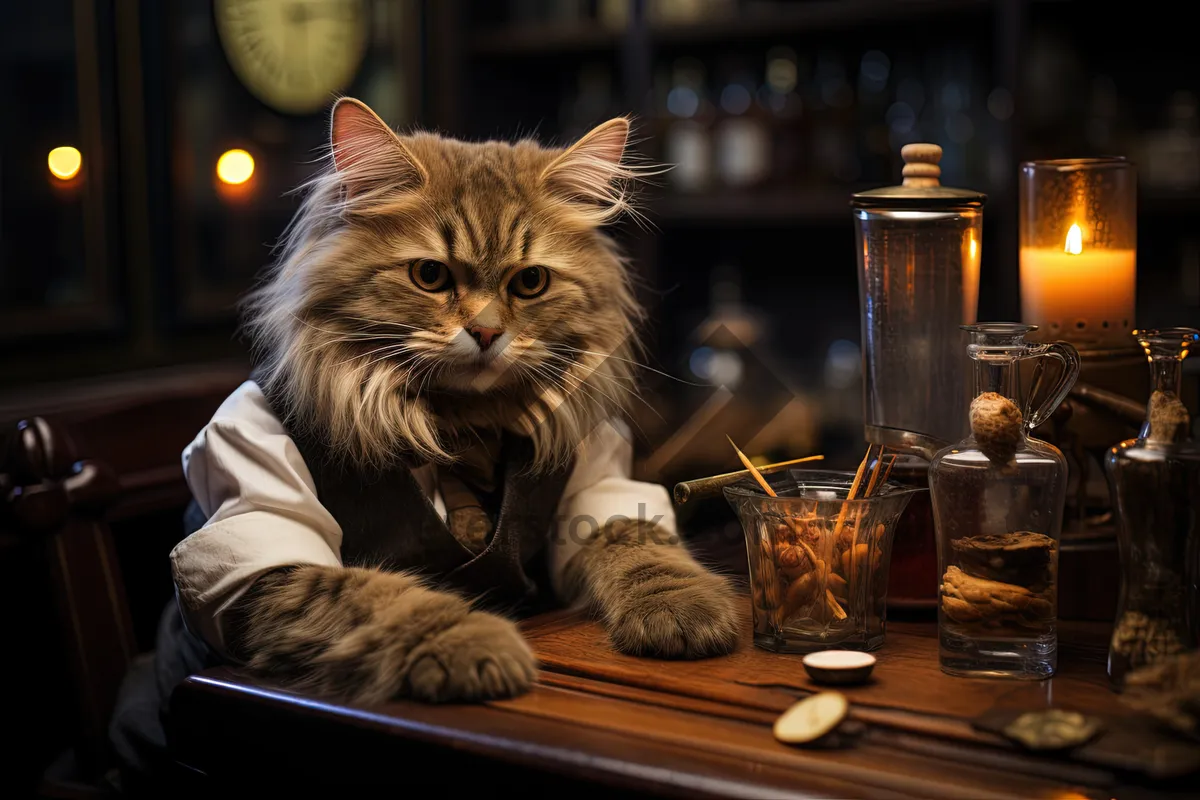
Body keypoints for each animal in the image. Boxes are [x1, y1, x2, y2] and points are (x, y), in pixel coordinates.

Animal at [211, 97, 739, 705]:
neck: (463, 421)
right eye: (430, 275)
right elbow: (377, 596)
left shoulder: (595, 486)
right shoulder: (269, 565)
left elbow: (636, 540)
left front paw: (683, 610)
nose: (486, 333)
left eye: (530, 283)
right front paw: (472, 646)